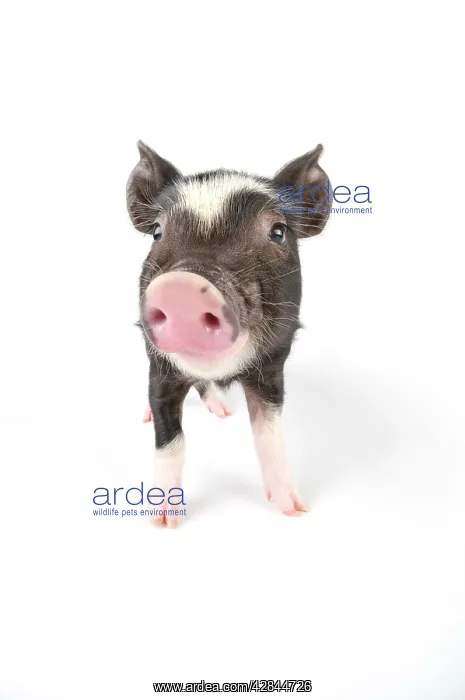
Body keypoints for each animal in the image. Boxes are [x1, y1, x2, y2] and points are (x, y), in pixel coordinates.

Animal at [127, 141, 332, 527]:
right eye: (158, 232)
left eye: (278, 231)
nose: (182, 286)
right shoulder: (159, 367)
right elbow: (169, 439)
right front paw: (162, 521)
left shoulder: (273, 366)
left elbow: (269, 432)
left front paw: (294, 509)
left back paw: (221, 412)